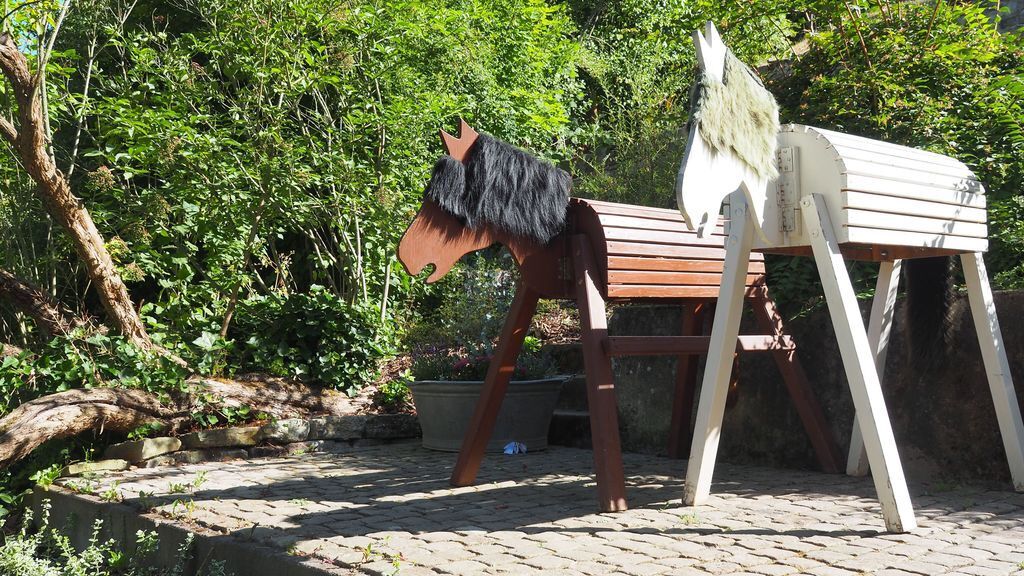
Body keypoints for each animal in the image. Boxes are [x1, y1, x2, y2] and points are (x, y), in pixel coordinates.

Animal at [398, 119, 843, 513]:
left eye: (448, 207)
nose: (406, 257)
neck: (558, 234)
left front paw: (614, 504)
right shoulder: (533, 289)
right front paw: (459, 480)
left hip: (757, 291)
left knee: (782, 348)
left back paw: (831, 461)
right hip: (700, 295)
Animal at [675, 22, 1024, 533]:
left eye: (709, 130)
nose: (692, 210)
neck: (785, 176)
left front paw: (901, 520)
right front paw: (692, 497)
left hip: (969, 252)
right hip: (892, 253)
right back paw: (860, 469)